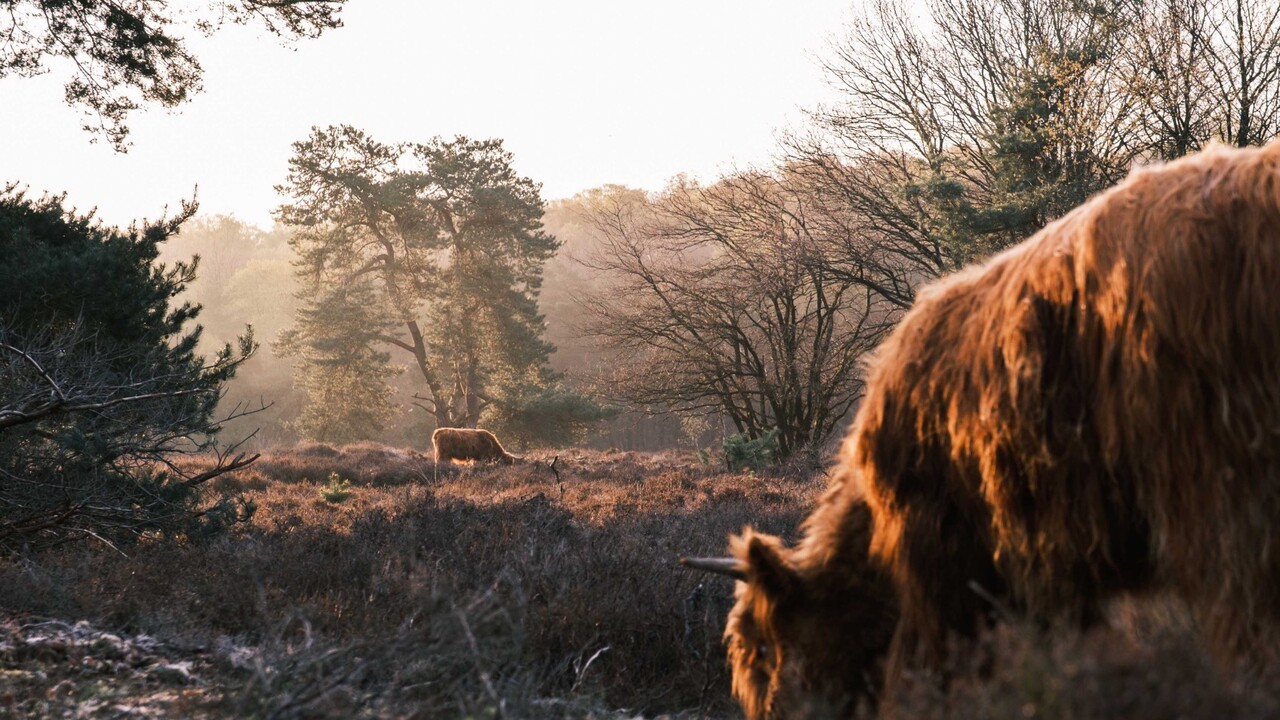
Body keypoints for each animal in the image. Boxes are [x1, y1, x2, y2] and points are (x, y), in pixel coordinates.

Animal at [691, 139, 1280, 712]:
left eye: (762, 648)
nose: (773, 712)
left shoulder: (940, 555)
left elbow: (934, 663)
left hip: (1218, 489)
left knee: (1247, 623)